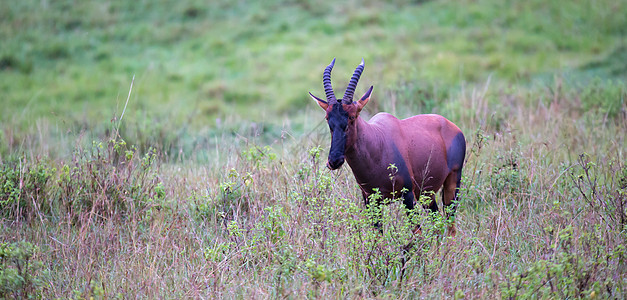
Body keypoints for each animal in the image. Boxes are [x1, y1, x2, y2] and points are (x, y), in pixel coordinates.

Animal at [310, 58, 466, 236]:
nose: (334, 160)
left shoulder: (407, 195)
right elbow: (378, 235)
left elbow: (417, 233)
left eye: (352, 117)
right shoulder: (370, 200)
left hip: (452, 182)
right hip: (426, 193)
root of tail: (452, 126)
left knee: (450, 226)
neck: (377, 143)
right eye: (328, 118)